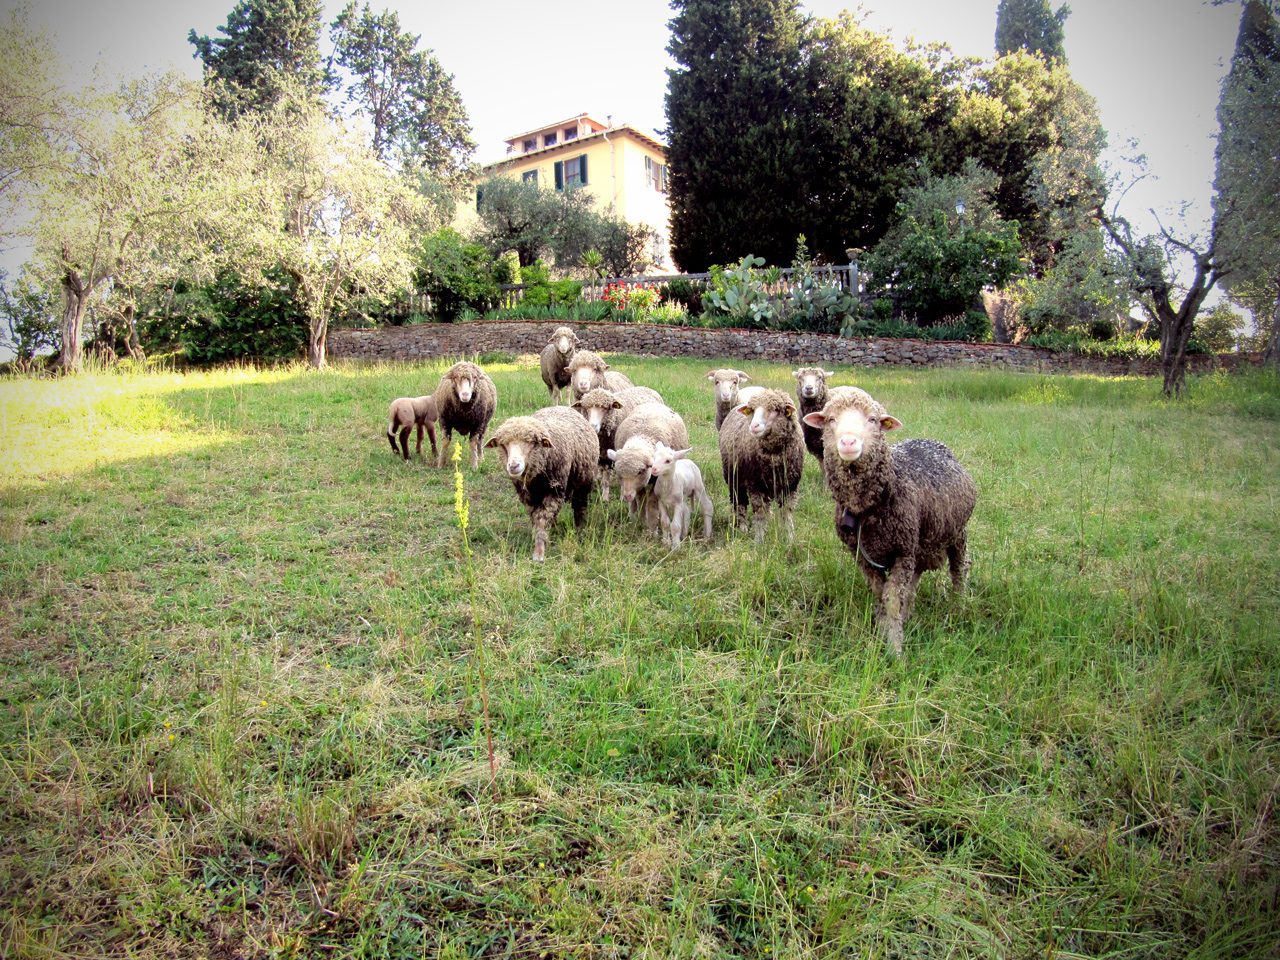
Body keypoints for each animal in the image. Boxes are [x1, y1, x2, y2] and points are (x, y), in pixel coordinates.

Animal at [484, 406, 598, 562]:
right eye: (503, 445)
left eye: (532, 443)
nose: (514, 466)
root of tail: (562, 406)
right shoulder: (527, 497)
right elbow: (535, 518)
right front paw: (540, 538)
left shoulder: (555, 491)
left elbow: (542, 519)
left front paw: (539, 553)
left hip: (583, 482)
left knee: (580, 507)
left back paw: (580, 530)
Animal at [606, 401, 689, 534]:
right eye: (619, 474)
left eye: (641, 471)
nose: (627, 496)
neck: (642, 435)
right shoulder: (639, 486)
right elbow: (641, 501)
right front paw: (642, 521)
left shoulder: (655, 483)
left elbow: (651, 505)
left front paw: (652, 529)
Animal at [718, 388, 805, 543]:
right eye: (752, 410)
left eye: (775, 409)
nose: (754, 426)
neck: (774, 457)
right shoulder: (756, 485)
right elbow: (760, 513)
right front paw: (759, 541)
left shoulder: (791, 486)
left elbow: (786, 513)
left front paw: (789, 539)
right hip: (734, 478)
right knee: (739, 502)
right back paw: (743, 527)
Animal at [802, 386, 976, 657]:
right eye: (831, 420)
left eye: (873, 420)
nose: (848, 442)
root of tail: (933, 442)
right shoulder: (864, 556)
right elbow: (880, 594)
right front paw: (884, 629)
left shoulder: (901, 552)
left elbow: (893, 599)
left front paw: (894, 650)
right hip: (919, 543)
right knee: (915, 579)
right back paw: (910, 613)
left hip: (957, 533)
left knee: (960, 569)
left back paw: (958, 607)